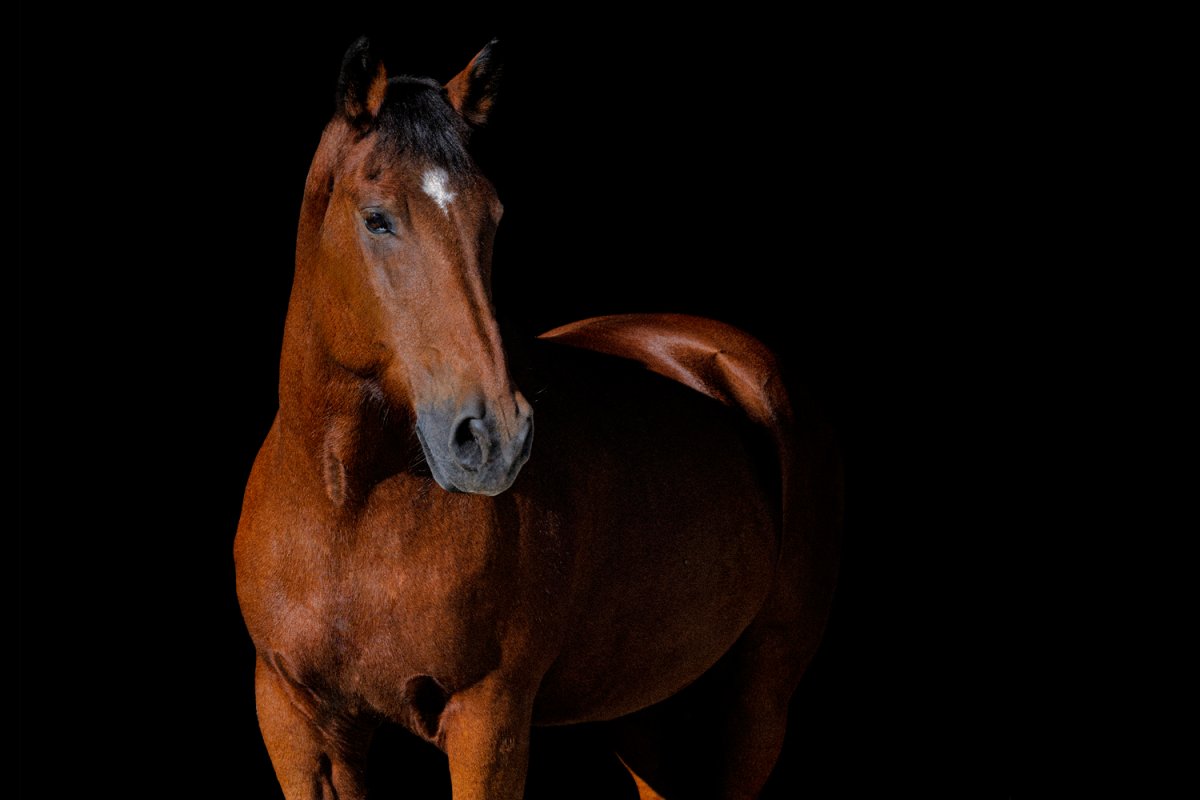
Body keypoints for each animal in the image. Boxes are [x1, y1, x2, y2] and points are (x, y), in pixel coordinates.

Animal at [235, 37, 841, 800]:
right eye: (376, 218)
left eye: (491, 217)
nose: (492, 438)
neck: (348, 504)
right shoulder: (297, 722)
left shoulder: (487, 719)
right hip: (639, 703)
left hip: (761, 695)